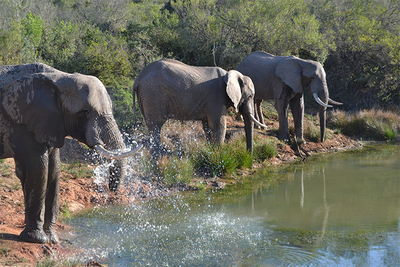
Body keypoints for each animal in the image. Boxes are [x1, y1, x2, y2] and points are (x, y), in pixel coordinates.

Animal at [0, 63, 144, 245]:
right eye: (85, 112)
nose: (112, 189)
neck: (59, 77)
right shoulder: (19, 120)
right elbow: (37, 169)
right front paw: (36, 239)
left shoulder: (50, 122)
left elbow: (54, 170)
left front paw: (52, 239)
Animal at [133, 58, 268, 158]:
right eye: (250, 96)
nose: (249, 157)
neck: (230, 74)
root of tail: (138, 78)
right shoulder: (217, 97)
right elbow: (219, 126)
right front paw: (219, 155)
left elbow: (207, 127)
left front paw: (211, 151)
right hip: (153, 95)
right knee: (156, 125)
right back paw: (159, 157)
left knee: (152, 126)